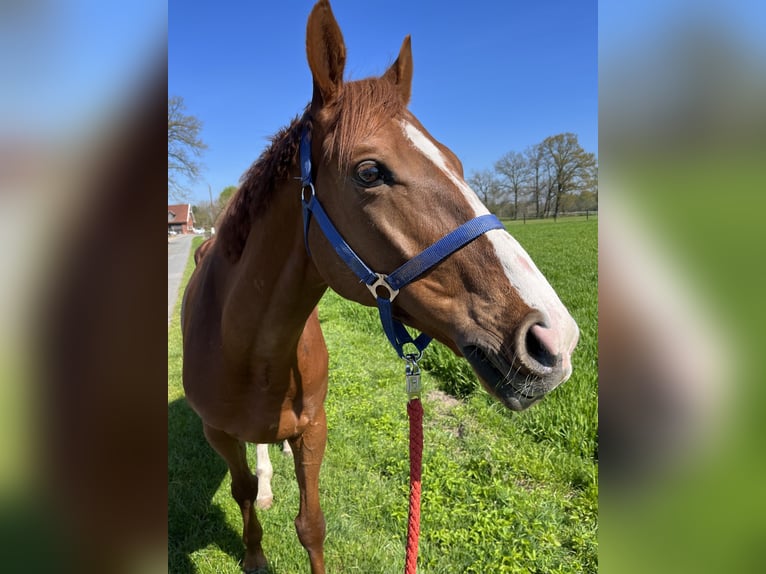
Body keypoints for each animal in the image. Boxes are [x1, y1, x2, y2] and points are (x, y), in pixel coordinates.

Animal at [181, 1, 579, 572]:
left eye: (456, 163)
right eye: (369, 171)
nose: (555, 338)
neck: (245, 347)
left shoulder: (314, 429)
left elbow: (311, 525)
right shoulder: (217, 433)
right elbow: (241, 492)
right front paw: (254, 552)